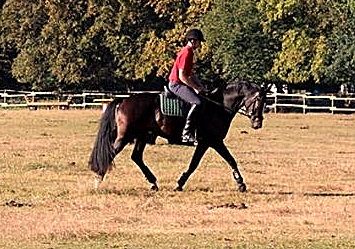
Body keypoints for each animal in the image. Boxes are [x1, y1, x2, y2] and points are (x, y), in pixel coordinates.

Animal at [89, 80, 270, 192]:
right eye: (259, 100)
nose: (258, 123)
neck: (218, 106)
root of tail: (123, 100)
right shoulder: (213, 141)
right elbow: (227, 160)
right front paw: (241, 184)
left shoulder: (207, 143)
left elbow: (196, 164)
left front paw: (180, 183)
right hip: (125, 137)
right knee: (111, 153)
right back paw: (98, 180)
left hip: (142, 135)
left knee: (136, 157)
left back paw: (153, 182)